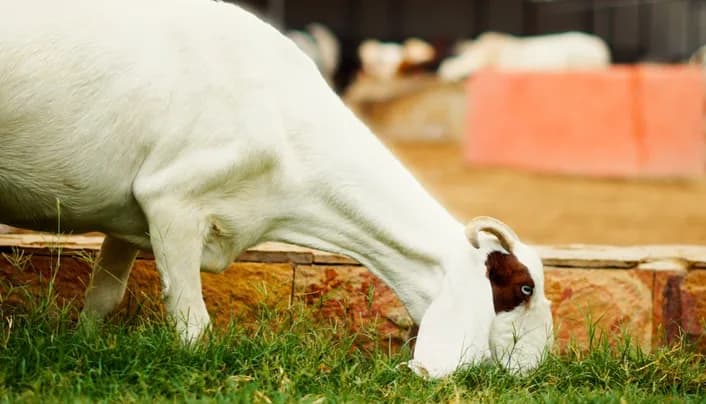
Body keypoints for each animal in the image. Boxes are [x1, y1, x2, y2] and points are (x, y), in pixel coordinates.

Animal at [0, 0, 552, 378]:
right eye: (522, 288)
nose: (541, 368)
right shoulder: (171, 203)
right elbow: (193, 326)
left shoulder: (130, 220)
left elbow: (103, 300)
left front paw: (83, 347)